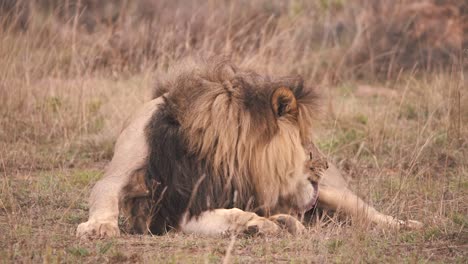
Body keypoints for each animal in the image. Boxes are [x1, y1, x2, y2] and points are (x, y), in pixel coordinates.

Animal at [76, 57, 420, 239]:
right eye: (305, 139)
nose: (323, 164)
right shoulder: (172, 203)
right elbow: (104, 193)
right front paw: (99, 227)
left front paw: (263, 223)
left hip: (335, 194)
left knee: (368, 212)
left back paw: (409, 225)